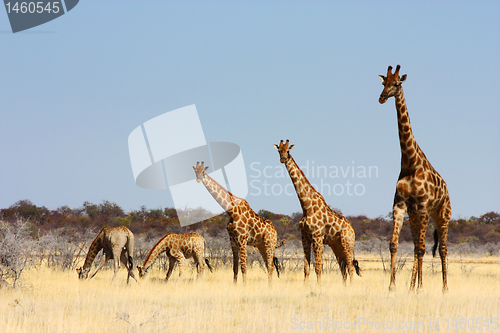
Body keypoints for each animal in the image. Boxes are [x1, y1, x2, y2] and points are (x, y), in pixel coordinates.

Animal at [274, 140, 360, 282]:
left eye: (288, 150)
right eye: (279, 150)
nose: (282, 159)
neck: (306, 207)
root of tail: (352, 230)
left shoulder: (317, 237)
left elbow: (318, 267)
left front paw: (319, 286)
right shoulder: (305, 238)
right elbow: (306, 268)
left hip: (347, 244)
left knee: (351, 267)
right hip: (337, 246)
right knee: (343, 269)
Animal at [378, 65, 454, 290]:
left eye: (396, 84)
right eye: (383, 82)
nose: (382, 97)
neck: (410, 163)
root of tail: (447, 190)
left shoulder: (424, 207)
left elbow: (422, 249)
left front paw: (421, 288)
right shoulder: (401, 206)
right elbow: (394, 245)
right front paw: (393, 287)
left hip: (441, 215)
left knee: (442, 249)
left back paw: (444, 288)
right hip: (415, 215)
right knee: (415, 246)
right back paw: (411, 286)